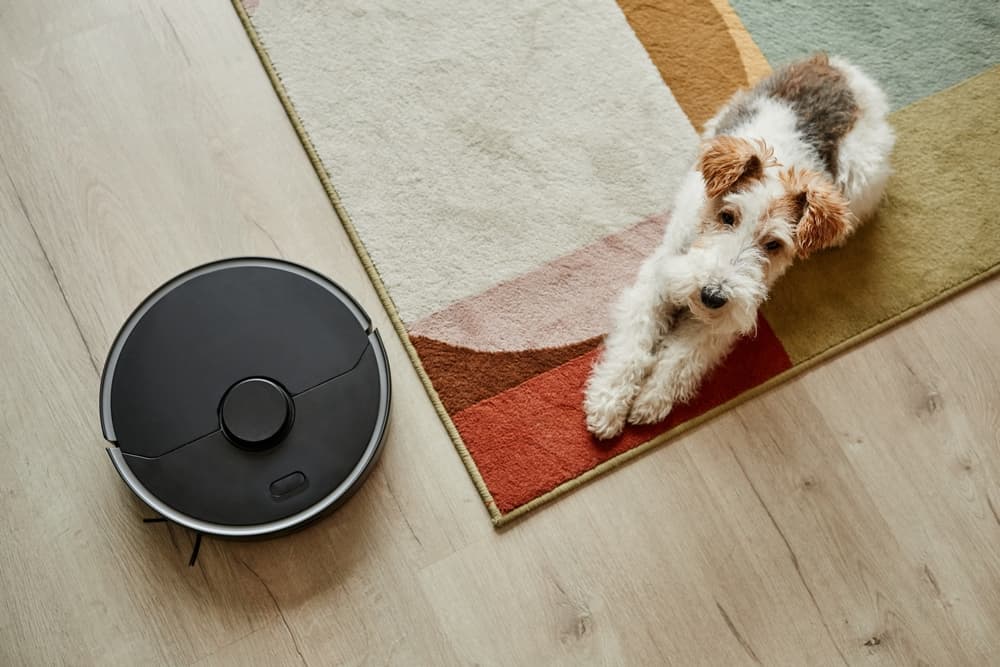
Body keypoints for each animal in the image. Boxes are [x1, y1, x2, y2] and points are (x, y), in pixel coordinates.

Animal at [584, 54, 896, 440]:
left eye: (774, 244)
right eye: (727, 216)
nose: (712, 295)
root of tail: (843, 69)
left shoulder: (725, 316)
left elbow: (681, 355)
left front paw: (651, 400)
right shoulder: (657, 280)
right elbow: (632, 346)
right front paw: (607, 405)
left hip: (859, 177)